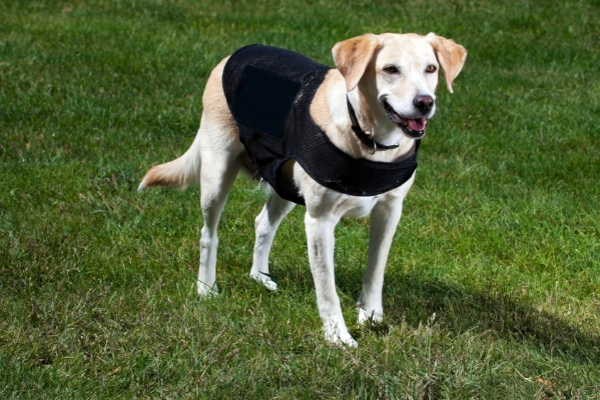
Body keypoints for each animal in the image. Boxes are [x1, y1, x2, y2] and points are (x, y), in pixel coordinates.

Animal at [138, 32, 466, 346]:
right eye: (390, 69)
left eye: (431, 69)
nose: (425, 102)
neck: (369, 138)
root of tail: (235, 53)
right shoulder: (320, 221)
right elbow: (327, 288)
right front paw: (337, 336)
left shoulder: (389, 211)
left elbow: (376, 270)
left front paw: (371, 316)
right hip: (217, 175)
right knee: (209, 234)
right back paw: (206, 288)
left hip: (284, 182)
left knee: (263, 224)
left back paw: (259, 276)